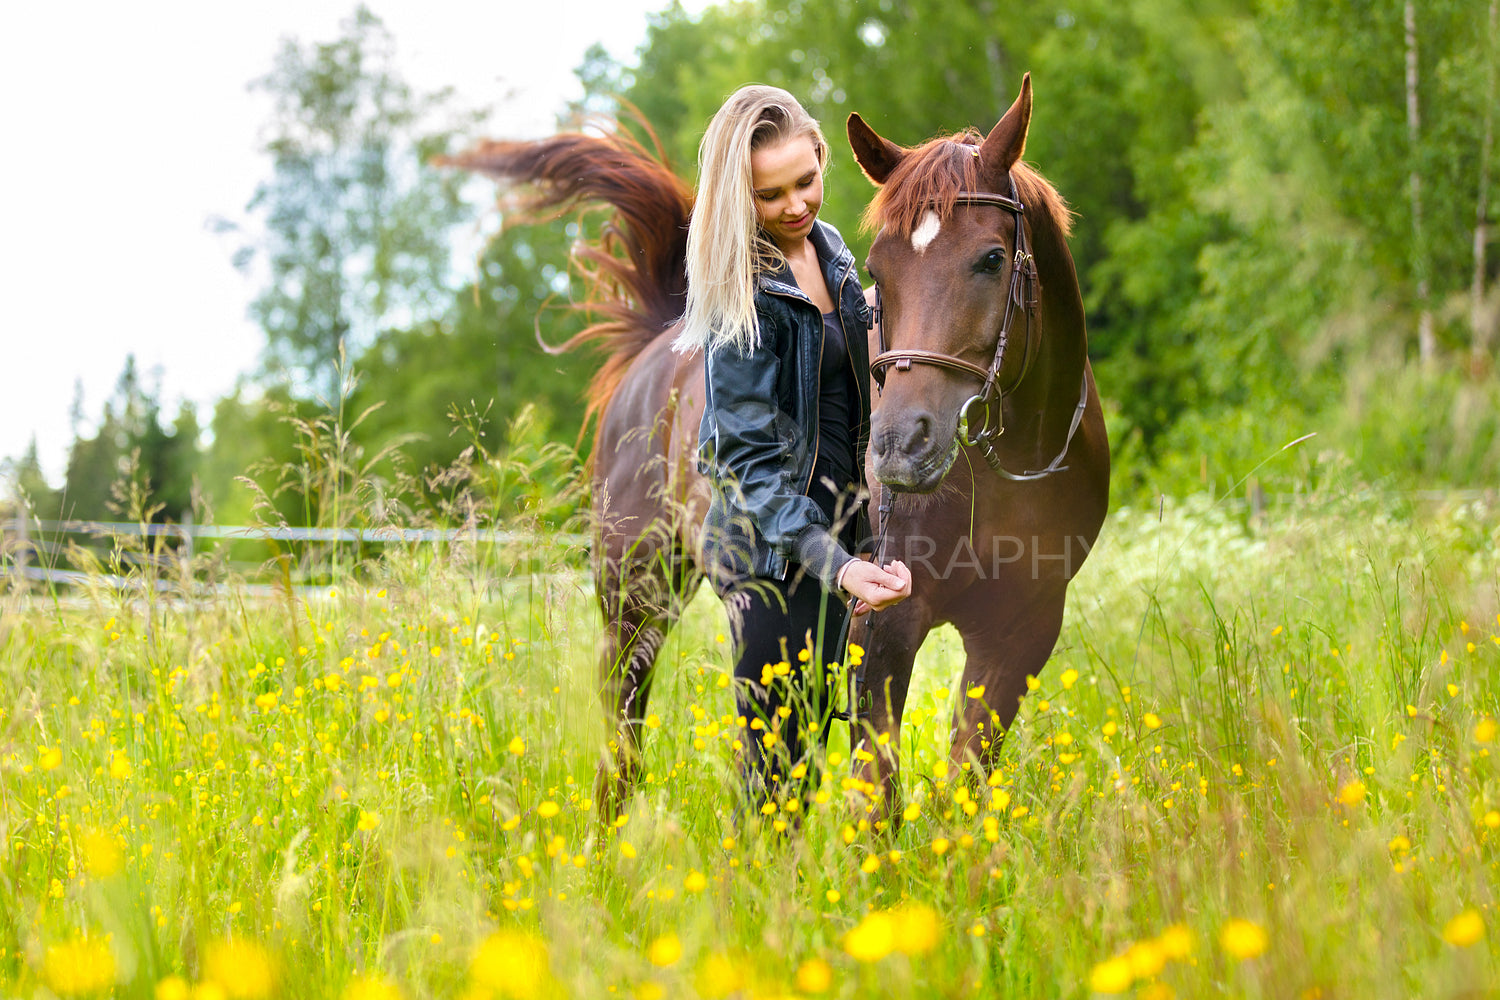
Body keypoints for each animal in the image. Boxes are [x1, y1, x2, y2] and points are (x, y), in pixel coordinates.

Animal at [444, 74, 1104, 815]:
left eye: (991, 259)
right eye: (879, 269)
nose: (899, 449)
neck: (1013, 466)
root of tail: (656, 345)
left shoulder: (1019, 636)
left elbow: (961, 792)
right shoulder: (884, 632)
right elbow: (879, 801)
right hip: (635, 601)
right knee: (625, 742)